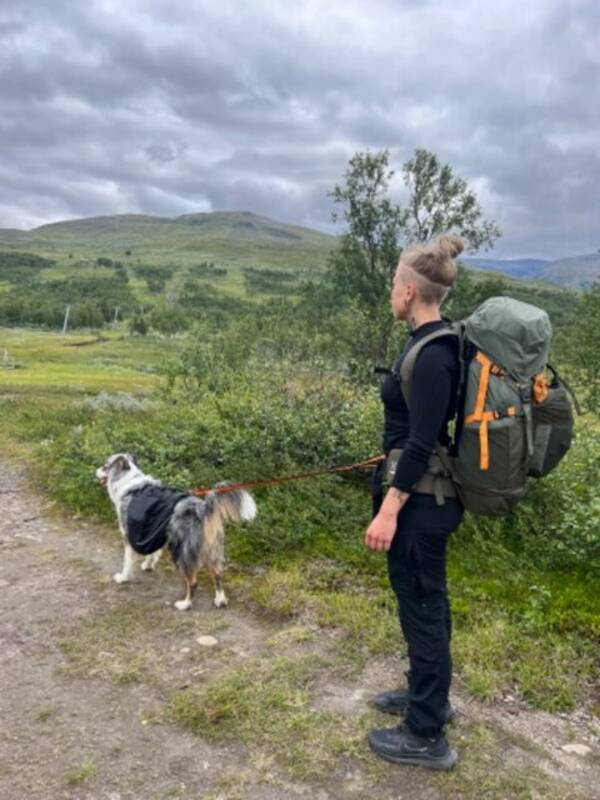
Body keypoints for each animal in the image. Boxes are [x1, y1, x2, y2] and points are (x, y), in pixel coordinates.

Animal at [95, 454, 256, 608]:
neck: (128, 482)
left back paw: (185, 604)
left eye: (105, 466)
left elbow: (127, 561)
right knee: (217, 574)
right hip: (212, 549)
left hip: (181, 551)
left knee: (193, 582)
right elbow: (152, 552)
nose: (95, 471)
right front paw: (148, 565)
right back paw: (220, 600)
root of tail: (202, 508)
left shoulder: (130, 534)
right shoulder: (151, 531)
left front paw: (123, 577)